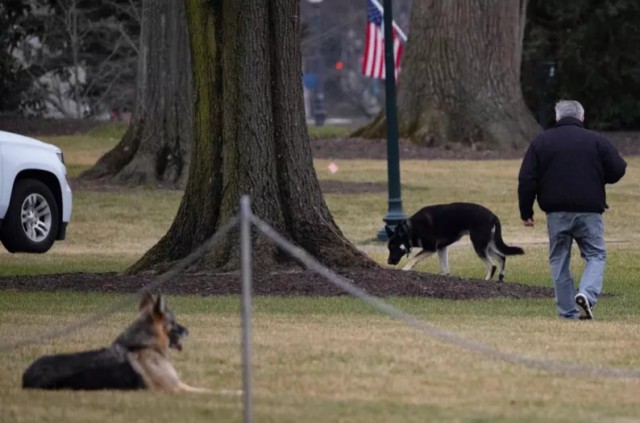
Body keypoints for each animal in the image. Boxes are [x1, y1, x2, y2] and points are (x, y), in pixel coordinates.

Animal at [21, 292, 210, 394]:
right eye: (174, 322)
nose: (188, 330)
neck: (142, 344)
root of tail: (26, 378)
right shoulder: (174, 388)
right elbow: (207, 391)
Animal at [384, 202, 524, 282]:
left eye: (393, 246)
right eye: (388, 247)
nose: (389, 262)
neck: (411, 229)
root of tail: (494, 216)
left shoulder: (431, 248)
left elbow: (413, 258)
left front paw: (405, 269)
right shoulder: (441, 248)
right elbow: (444, 268)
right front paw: (445, 276)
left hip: (479, 245)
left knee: (492, 265)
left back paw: (487, 280)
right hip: (486, 245)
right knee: (502, 257)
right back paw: (500, 278)